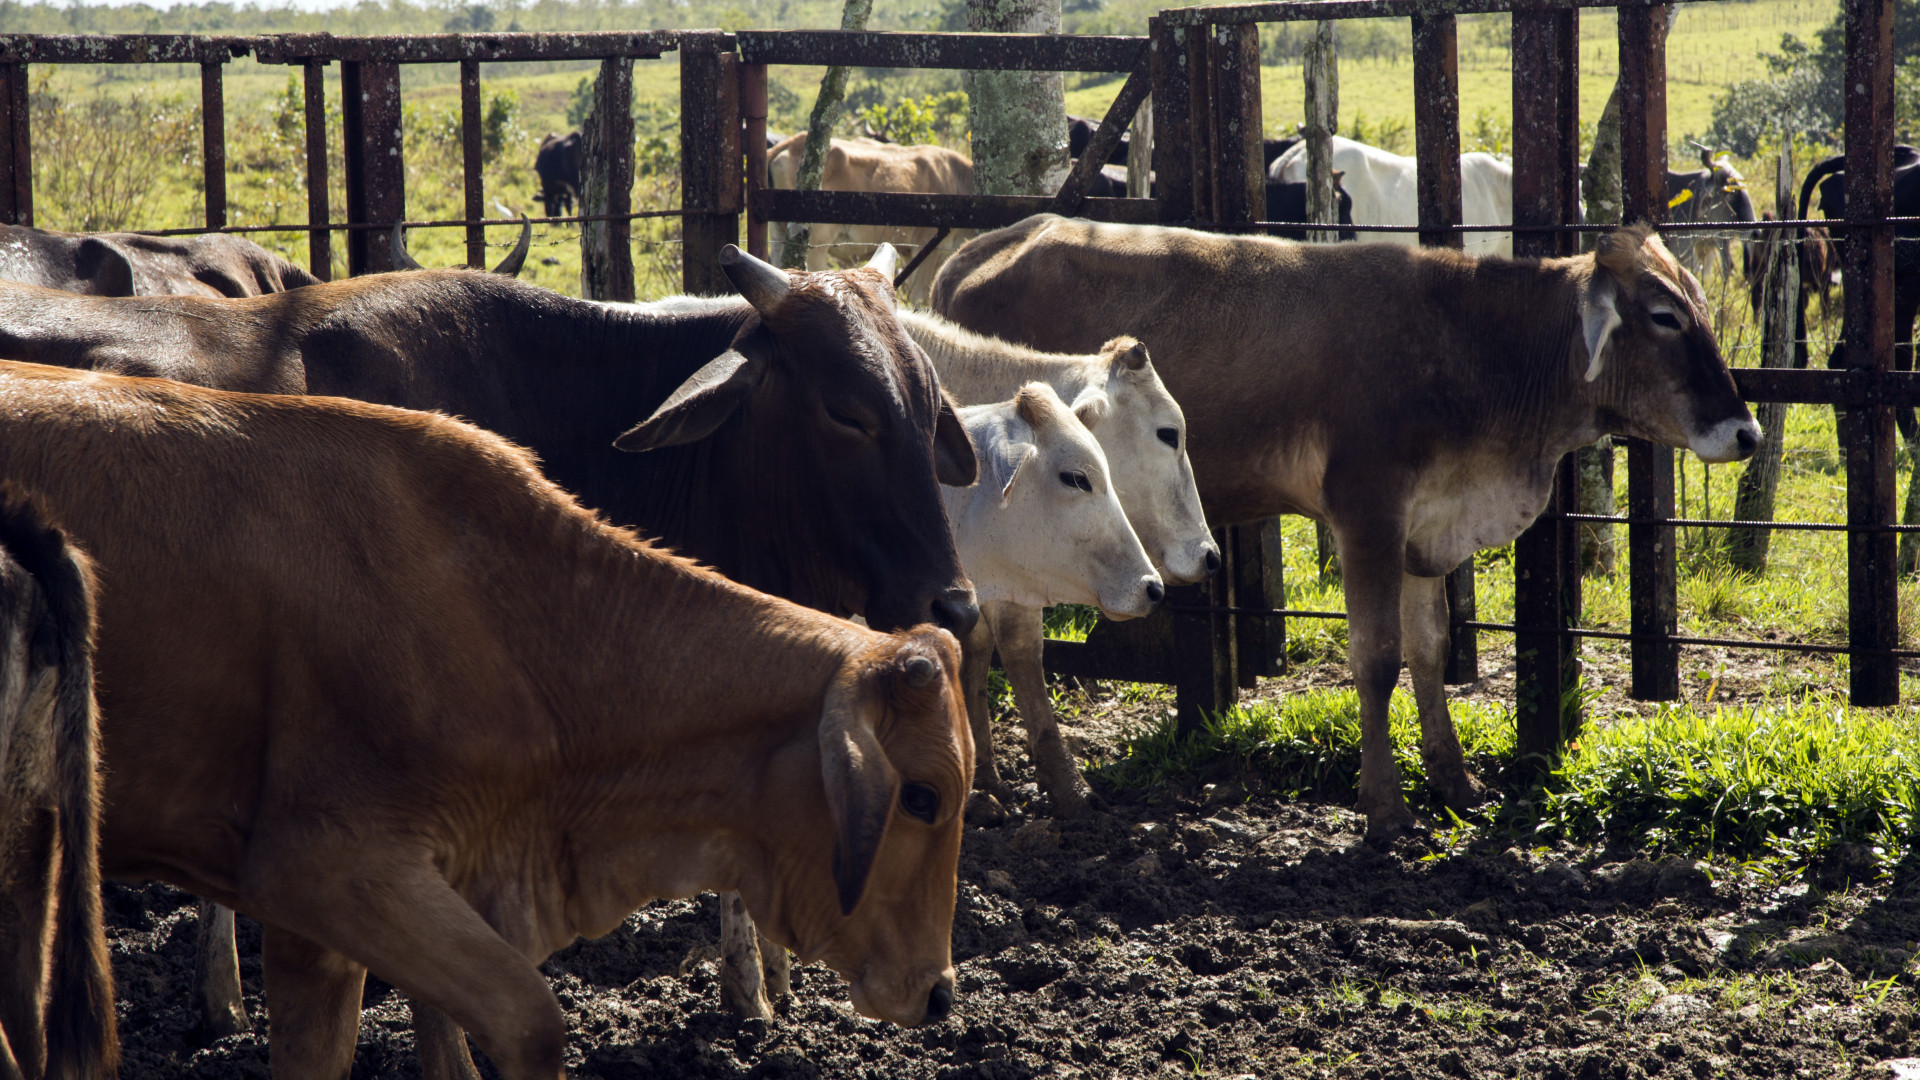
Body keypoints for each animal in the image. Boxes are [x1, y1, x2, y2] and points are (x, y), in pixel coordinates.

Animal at [766, 133, 975, 301]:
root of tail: (791, 142)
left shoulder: (911, 254)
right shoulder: (927, 245)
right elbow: (920, 297)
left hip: (778, 233)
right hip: (816, 243)